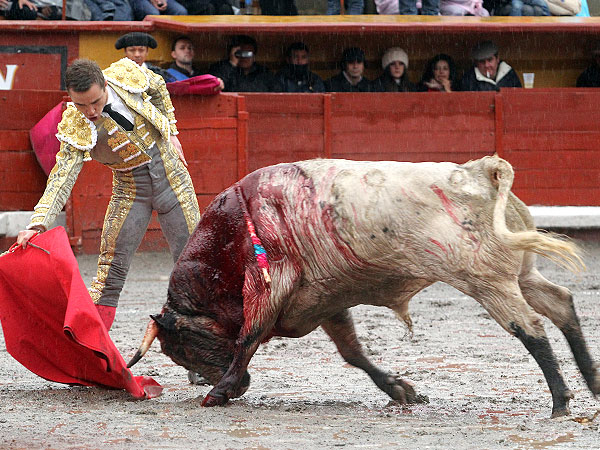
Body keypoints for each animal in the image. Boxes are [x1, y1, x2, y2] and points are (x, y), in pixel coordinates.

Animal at [129, 156, 596, 416]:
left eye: (184, 347)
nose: (241, 386)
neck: (235, 232)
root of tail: (481, 170)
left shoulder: (271, 283)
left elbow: (248, 337)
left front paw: (220, 392)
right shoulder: (323, 298)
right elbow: (353, 352)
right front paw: (400, 389)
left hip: (485, 280)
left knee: (531, 329)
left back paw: (560, 401)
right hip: (521, 274)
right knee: (562, 305)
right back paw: (591, 382)